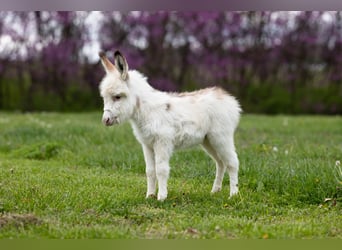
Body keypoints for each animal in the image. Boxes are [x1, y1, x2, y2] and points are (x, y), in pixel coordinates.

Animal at [99, 50, 242, 201]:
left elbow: (161, 169)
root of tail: (228, 98)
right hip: (208, 140)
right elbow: (150, 171)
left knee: (232, 163)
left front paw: (161, 197)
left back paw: (233, 194)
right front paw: (149, 195)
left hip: (221, 137)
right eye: (104, 97)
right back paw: (215, 191)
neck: (145, 110)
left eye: (117, 97)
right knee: (220, 163)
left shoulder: (162, 142)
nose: (105, 120)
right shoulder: (147, 145)